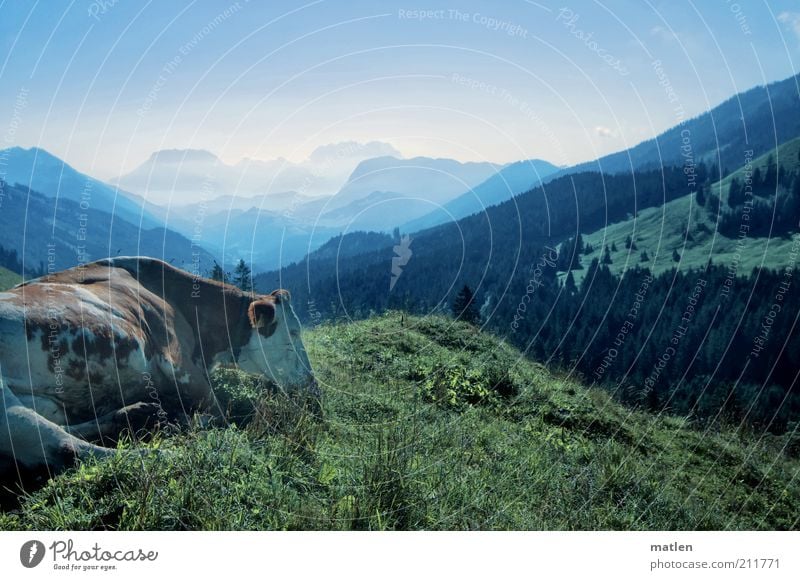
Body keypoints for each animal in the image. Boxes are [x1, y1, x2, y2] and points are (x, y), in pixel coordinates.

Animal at [0, 258, 318, 480]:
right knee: (68, 447)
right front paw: (184, 421)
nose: (313, 388)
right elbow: (217, 414)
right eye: (293, 332)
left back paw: (134, 414)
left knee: (67, 428)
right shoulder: (178, 362)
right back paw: (168, 449)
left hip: (48, 404)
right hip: (6, 406)